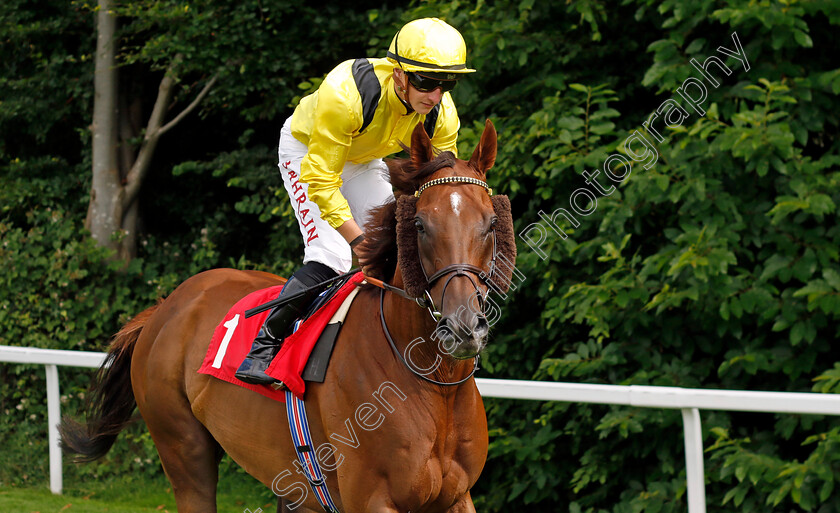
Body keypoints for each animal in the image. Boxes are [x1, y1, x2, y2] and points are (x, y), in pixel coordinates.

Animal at [59, 119, 516, 508]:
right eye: (420, 224)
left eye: (492, 223)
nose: (463, 329)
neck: (434, 386)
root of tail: (165, 307)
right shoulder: (371, 498)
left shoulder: (456, 498)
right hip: (183, 449)